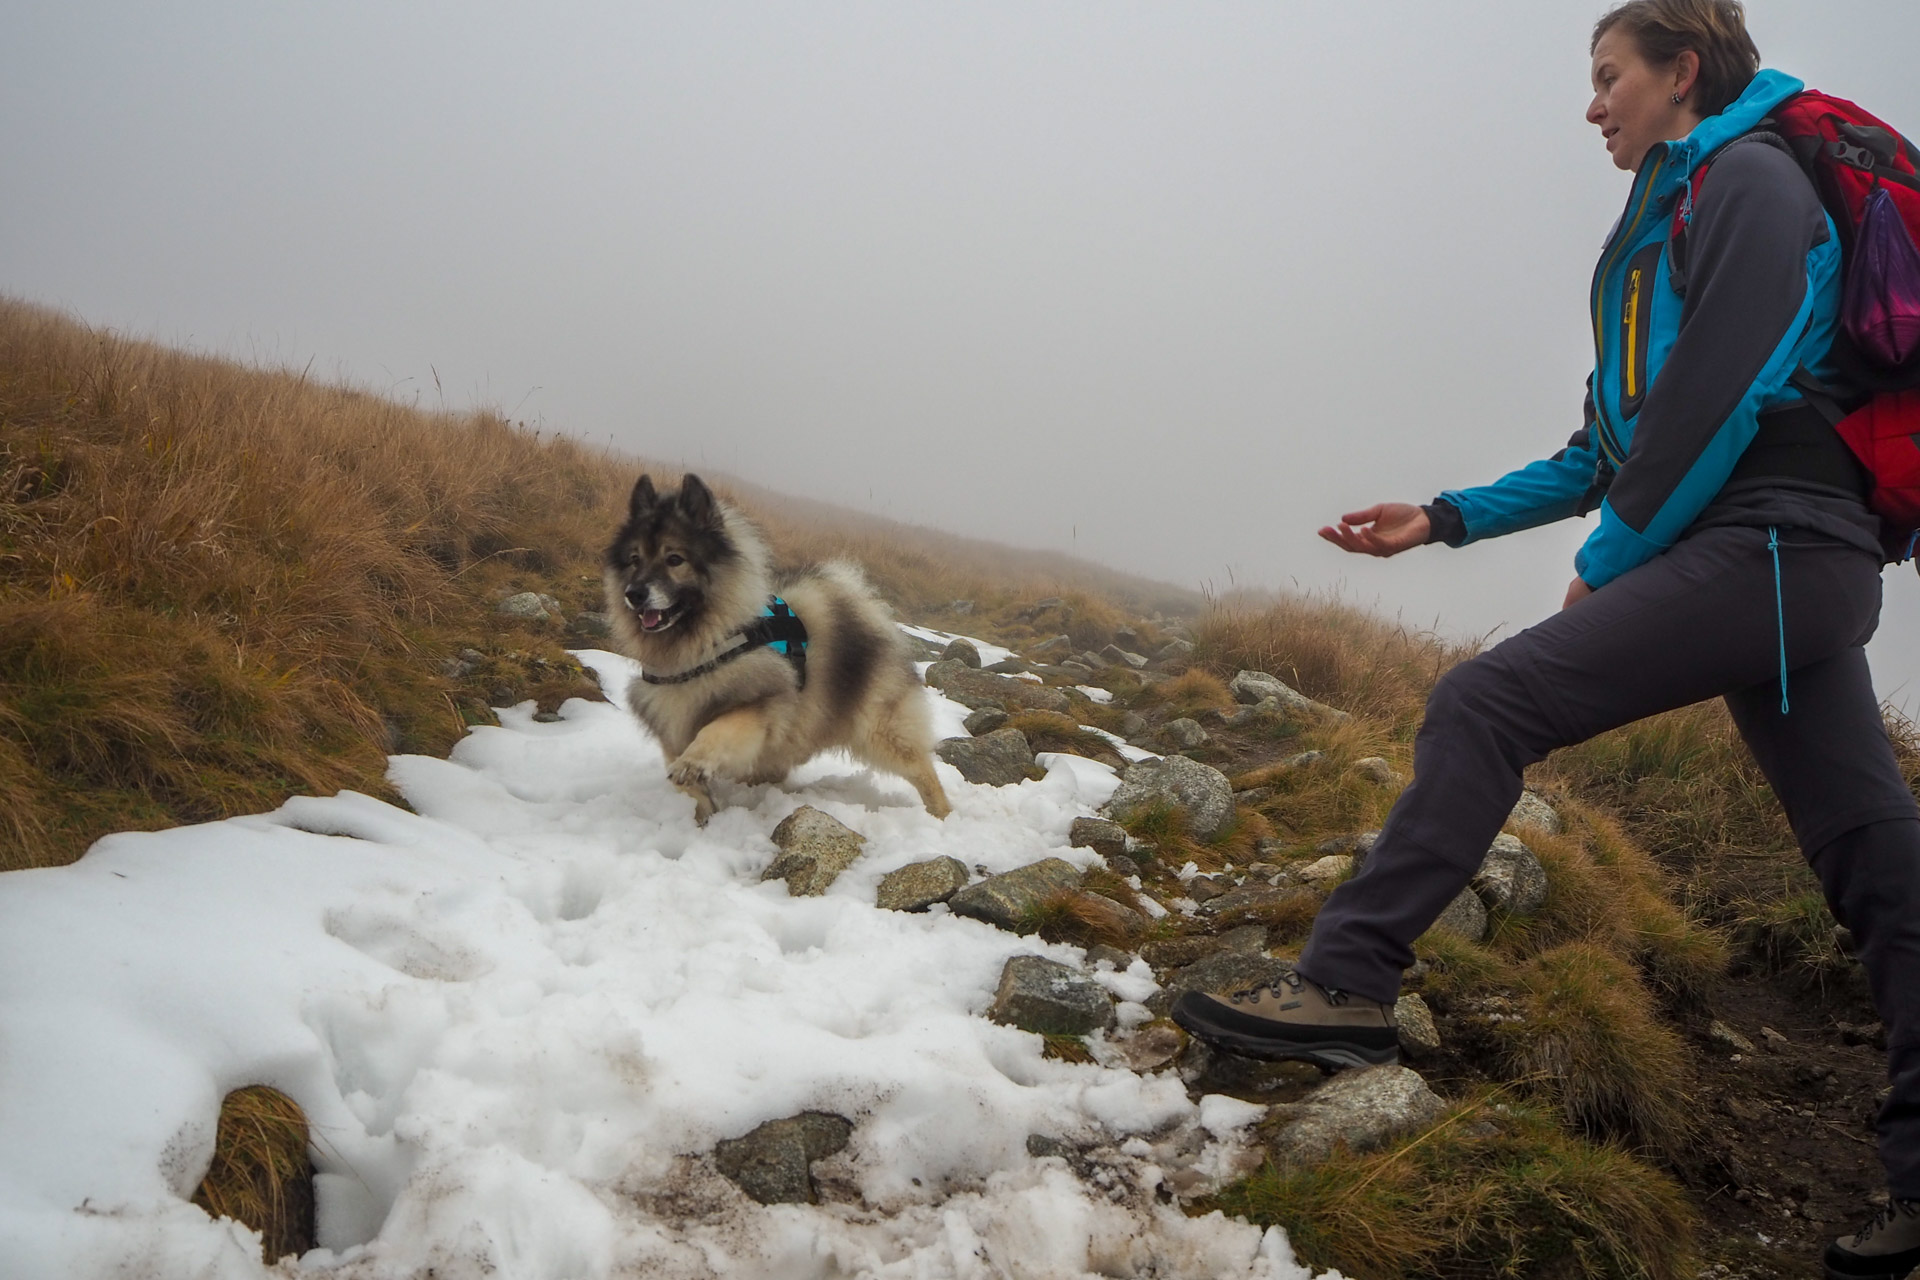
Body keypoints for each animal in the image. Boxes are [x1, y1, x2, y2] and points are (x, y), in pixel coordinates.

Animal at [602, 475, 948, 825]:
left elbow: (717, 731)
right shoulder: (671, 723)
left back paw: (941, 814)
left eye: (675, 559)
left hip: (880, 729)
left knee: (921, 770)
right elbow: (684, 780)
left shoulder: (758, 710)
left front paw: (693, 763)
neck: (699, 648)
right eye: (634, 560)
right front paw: (702, 809)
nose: (634, 594)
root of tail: (862, 605)